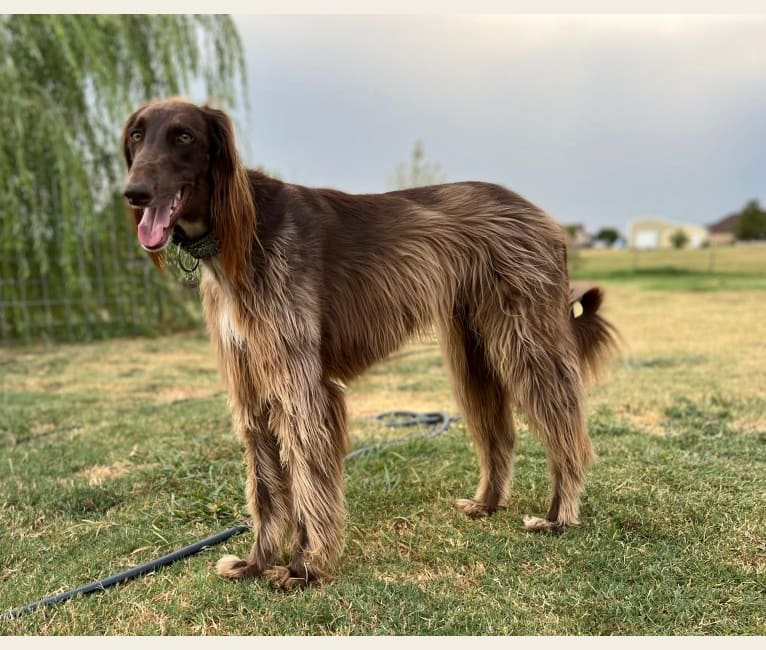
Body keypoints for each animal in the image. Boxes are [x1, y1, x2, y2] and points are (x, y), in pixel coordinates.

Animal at [123, 97, 620, 588]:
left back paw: (558, 516)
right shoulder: (250, 380)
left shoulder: (299, 381)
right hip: (473, 349)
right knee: (498, 432)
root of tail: (544, 219)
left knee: (566, 429)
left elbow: (308, 473)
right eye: (136, 135)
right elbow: (265, 482)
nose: (134, 193)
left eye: (184, 135)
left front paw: (305, 565)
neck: (239, 234)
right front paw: (256, 563)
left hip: (526, 338)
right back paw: (488, 503)